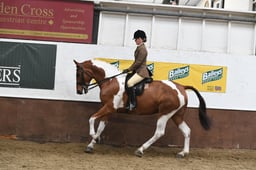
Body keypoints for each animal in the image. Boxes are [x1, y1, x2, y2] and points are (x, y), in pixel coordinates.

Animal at [73, 59, 210, 157]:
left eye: (78, 74)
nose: (79, 91)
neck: (110, 81)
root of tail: (181, 87)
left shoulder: (109, 107)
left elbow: (91, 119)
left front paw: (93, 136)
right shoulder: (108, 109)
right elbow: (101, 126)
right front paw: (91, 145)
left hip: (165, 113)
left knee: (159, 132)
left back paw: (140, 150)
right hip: (177, 115)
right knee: (187, 131)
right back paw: (183, 153)